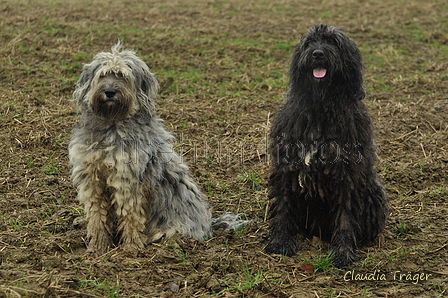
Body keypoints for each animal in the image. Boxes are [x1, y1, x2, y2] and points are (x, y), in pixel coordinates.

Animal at [69, 43, 213, 254]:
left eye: (123, 76)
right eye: (103, 75)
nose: (110, 91)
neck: (112, 123)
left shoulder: (126, 179)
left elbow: (130, 215)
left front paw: (131, 247)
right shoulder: (92, 178)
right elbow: (97, 215)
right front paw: (98, 246)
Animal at [266, 23, 388, 268]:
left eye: (333, 42)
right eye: (309, 42)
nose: (318, 53)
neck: (320, 109)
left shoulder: (347, 176)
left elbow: (345, 217)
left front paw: (343, 252)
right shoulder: (287, 168)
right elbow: (283, 206)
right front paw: (280, 242)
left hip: (373, 192)